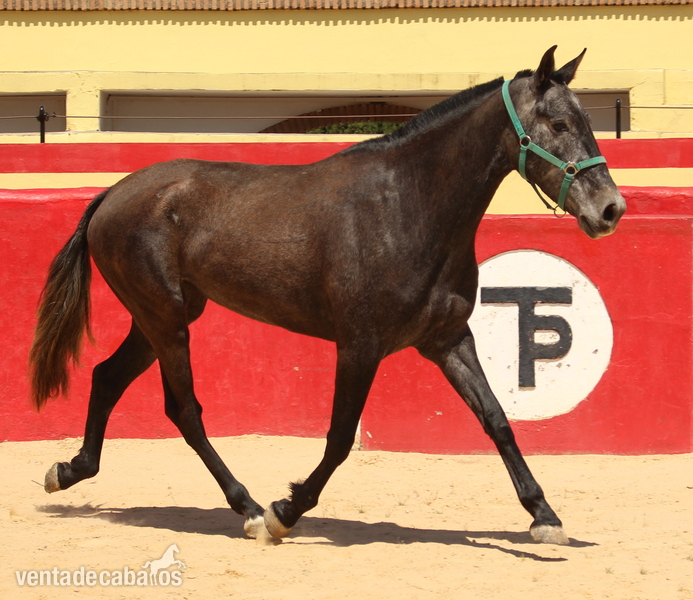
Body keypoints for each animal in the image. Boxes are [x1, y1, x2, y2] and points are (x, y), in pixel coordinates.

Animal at [29, 46, 625, 546]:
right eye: (558, 122)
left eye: (587, 121)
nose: (611, 209)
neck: (407, 206)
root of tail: (112, 193)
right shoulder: (360, 346)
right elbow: (339, 439)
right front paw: (283, 512)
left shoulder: (448, 340)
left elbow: (496, 419)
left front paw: (544, 516)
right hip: (166, 319)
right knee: (185, 410)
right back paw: (247, 508)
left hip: (159, 317)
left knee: (107, 377)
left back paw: (69, 470)